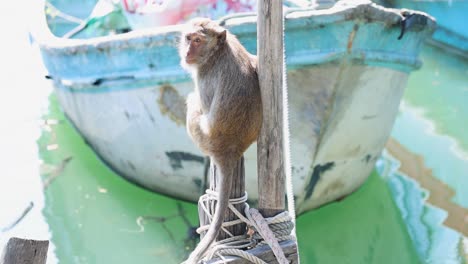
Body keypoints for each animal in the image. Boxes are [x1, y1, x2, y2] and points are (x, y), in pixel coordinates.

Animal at [179, 17, 262, 262]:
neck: (217, 52)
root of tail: (230, 150)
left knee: (192, 102)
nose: (187, 52)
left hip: (203, 138)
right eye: (188, 38)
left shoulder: (204, 77)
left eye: (198, 41)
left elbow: (202, 105)